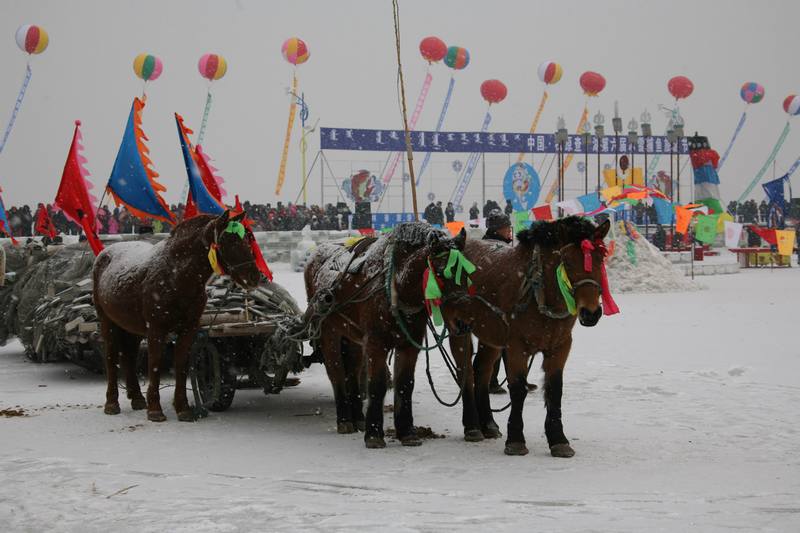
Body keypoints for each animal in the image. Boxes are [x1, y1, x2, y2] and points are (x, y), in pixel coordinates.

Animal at [93, 210, 260, 422]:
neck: (176, 276)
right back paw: (112, 403)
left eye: (247, 238)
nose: (255, 276)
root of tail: (104, 254)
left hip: (132, 327)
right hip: (108, 322)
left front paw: (183, 408)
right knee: (111, 358)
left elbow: (181, 365)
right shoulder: (156, 329)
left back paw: (137, 398)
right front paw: (155, 409)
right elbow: (155, 364)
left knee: (129, 357)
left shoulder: (189, 329)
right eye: (228, 240)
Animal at [306, 221, 468, 448]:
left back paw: (358, 417)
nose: (462, 322)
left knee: (352, 372)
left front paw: (406, 431)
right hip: (329, 333)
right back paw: (345, 419)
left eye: (467, 273)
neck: (396, 285)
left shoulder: (409, 345)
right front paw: (374, 434)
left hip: (353, 336)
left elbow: (405, 385)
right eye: (441, 271)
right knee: (336, 372)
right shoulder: (376, 343)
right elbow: (377, 384)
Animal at [444, 216, 612, 454]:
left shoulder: (560, 346)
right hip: (458, 327)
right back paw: (472, 426)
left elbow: (554, 390)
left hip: (491, 334)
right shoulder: (517, 346)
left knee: (482, 371)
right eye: (568, 262)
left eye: (599, 259)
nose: (591, 312)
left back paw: (488, 424)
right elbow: (517, 389)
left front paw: (558, 439)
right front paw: (515, 439)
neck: (538, 292)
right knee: (465, 372)